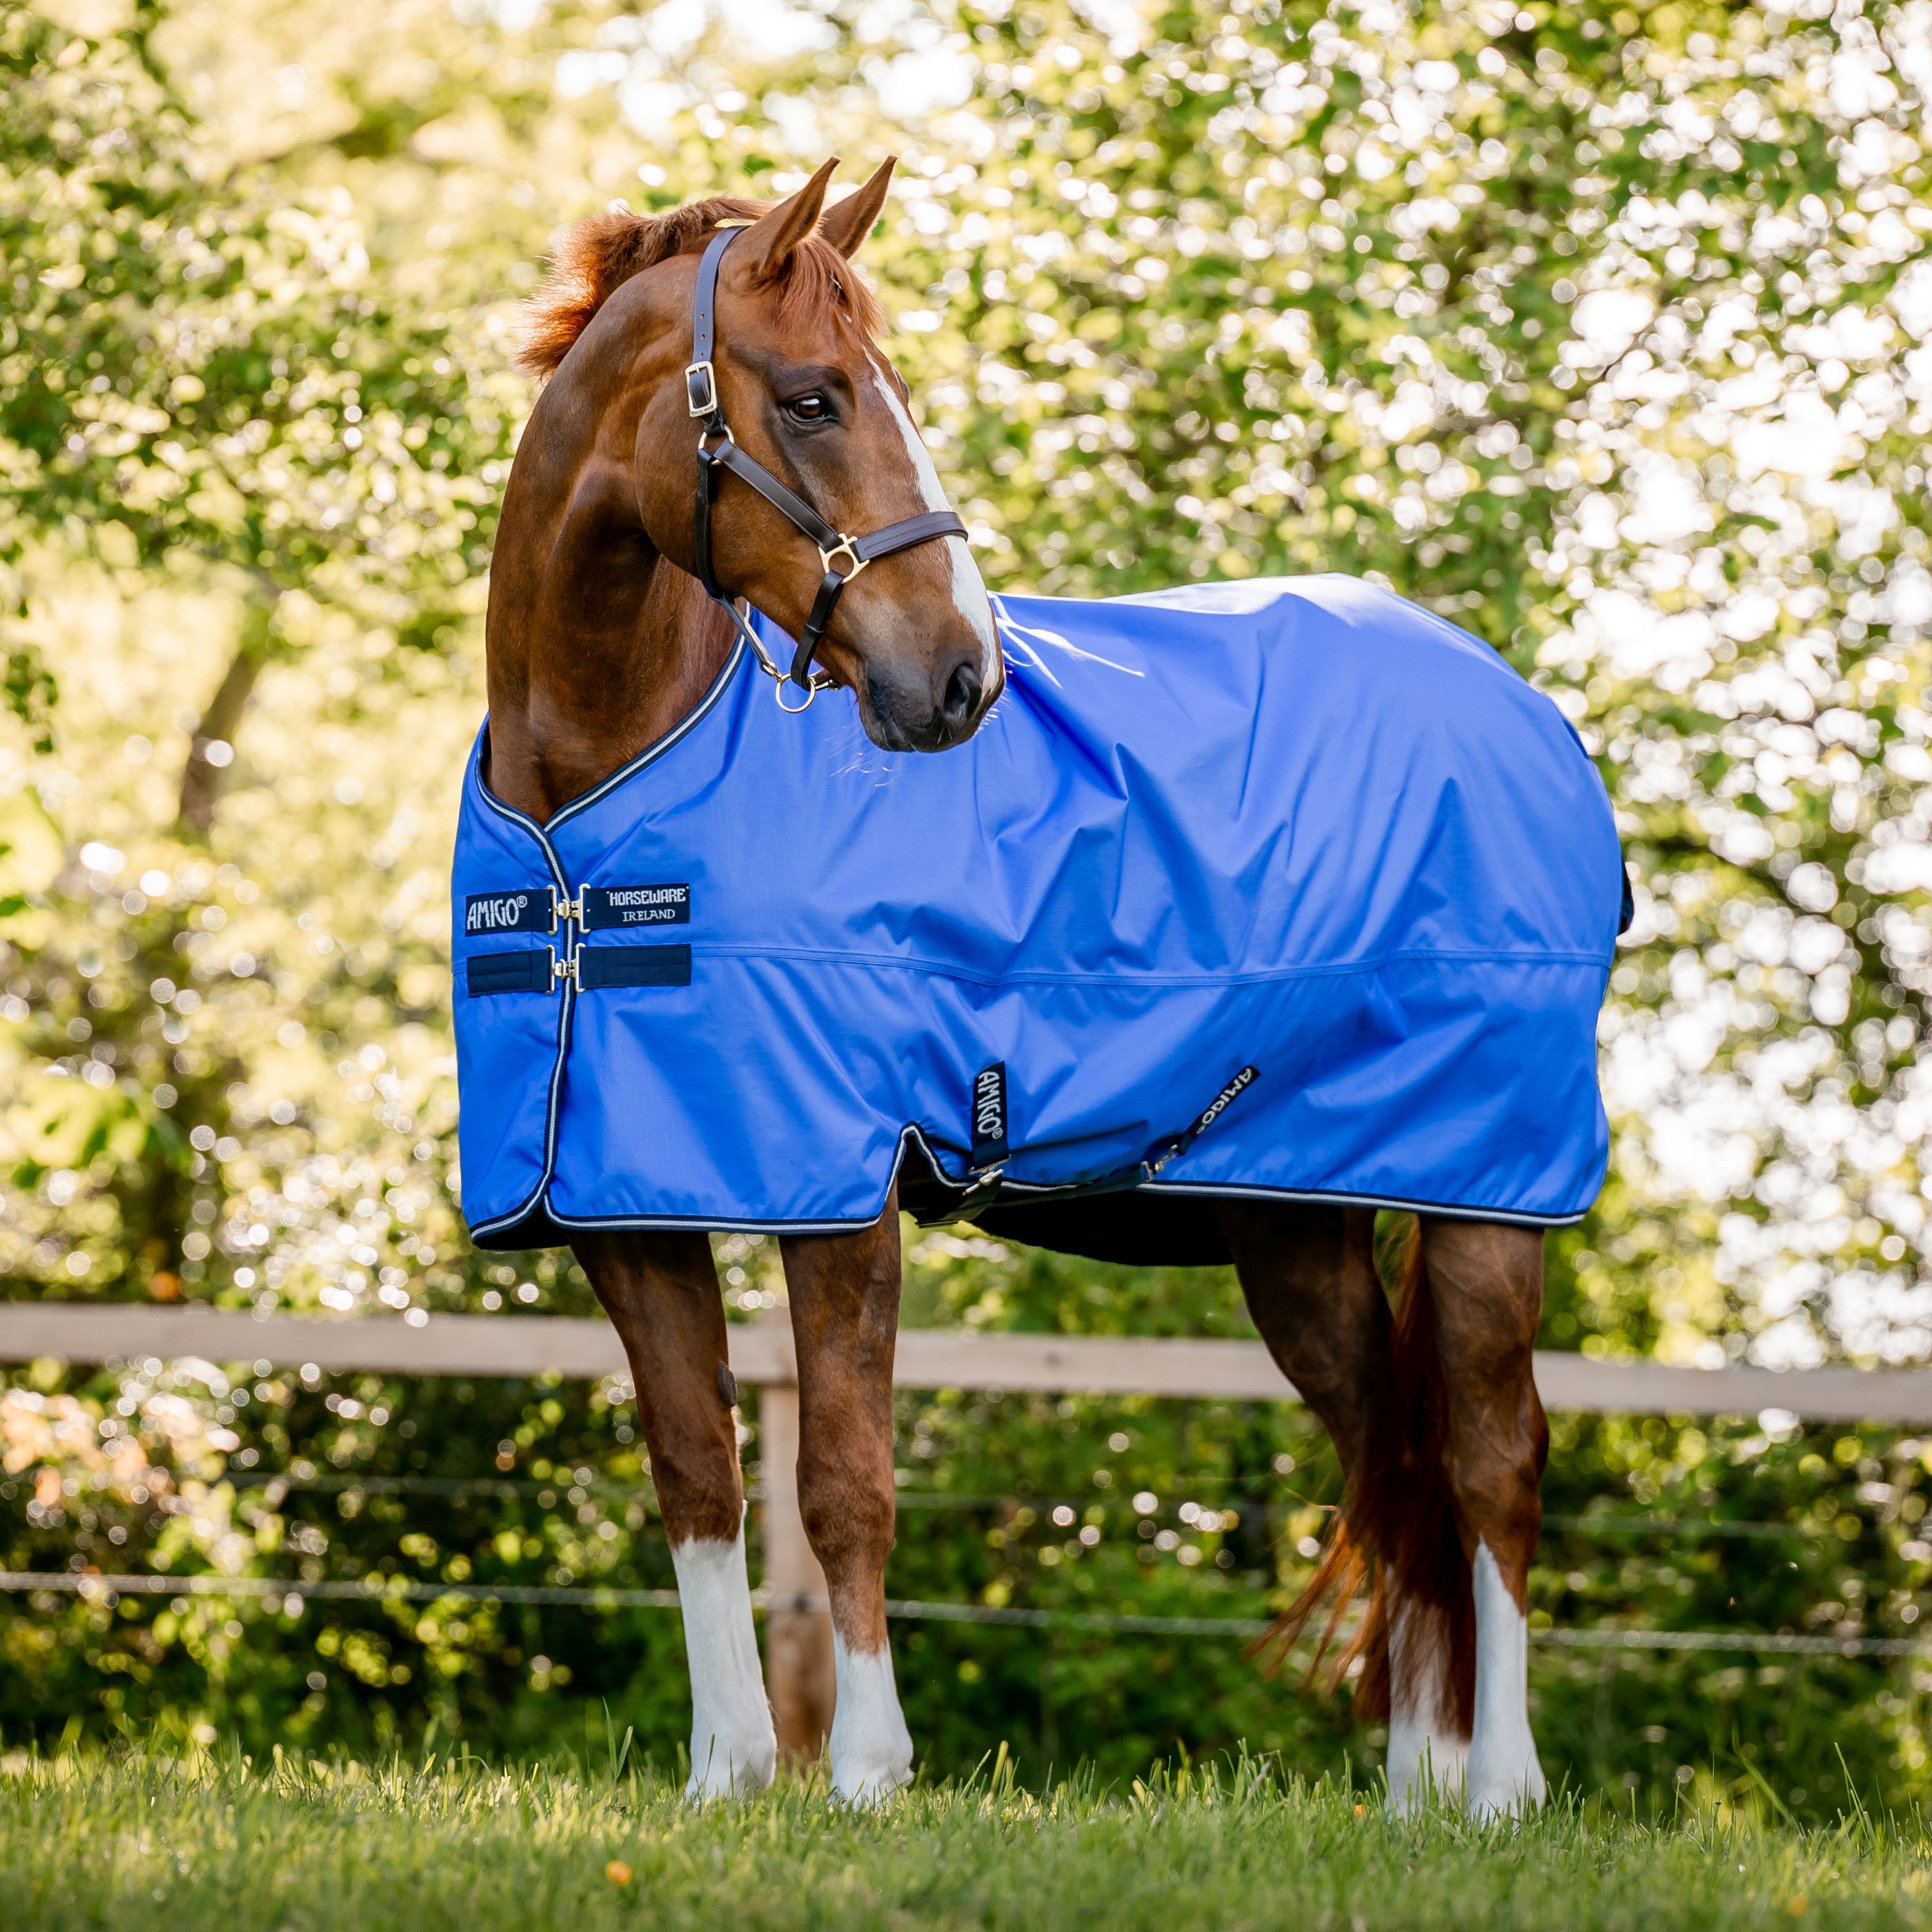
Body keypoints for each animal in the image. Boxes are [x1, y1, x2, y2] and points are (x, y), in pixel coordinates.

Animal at [477, 157, 1561, 1814]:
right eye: (811, 399)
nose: (960, 678)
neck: (592, 805)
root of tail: (1518, 706)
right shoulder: (626, 1205)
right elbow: (699, 1478)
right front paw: (728, 1778)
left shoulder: (842, 1192)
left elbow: (844, 1479)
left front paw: (865, 1772)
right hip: (1299, 1234)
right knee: (1397, 1465)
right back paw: (1416, 1795)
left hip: (1487, 1196)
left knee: (1493, 1464)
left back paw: (1500, 1788)